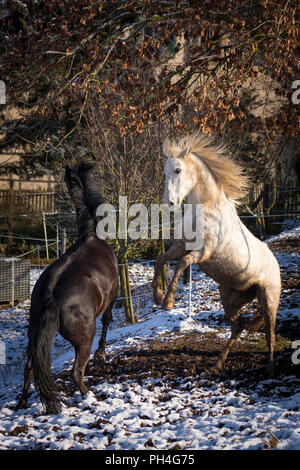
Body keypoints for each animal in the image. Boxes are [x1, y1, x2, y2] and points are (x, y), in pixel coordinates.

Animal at [15, 163, 118, 414]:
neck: (91, 236)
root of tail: (51, 299)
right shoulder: (112, 297)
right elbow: (108, 321)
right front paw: (102, 354)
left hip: (33, 337)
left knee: (29, 369)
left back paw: (22, 403)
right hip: (83, 340)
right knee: (76, 372)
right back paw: (91, 396)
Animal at [152, 132, 282, 374]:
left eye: (178, 170)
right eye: (165, 172)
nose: (170, 203)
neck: (207, 209)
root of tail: (275, 263)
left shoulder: (203, 252)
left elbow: (181, 263)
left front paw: (168, 302)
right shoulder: (182, 245)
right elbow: (161, 260)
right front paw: (157, 295)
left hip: (268, 299)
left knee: (270, 332)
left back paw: (270, 369)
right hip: (230, 298)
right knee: (238, 327)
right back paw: (218, 364)